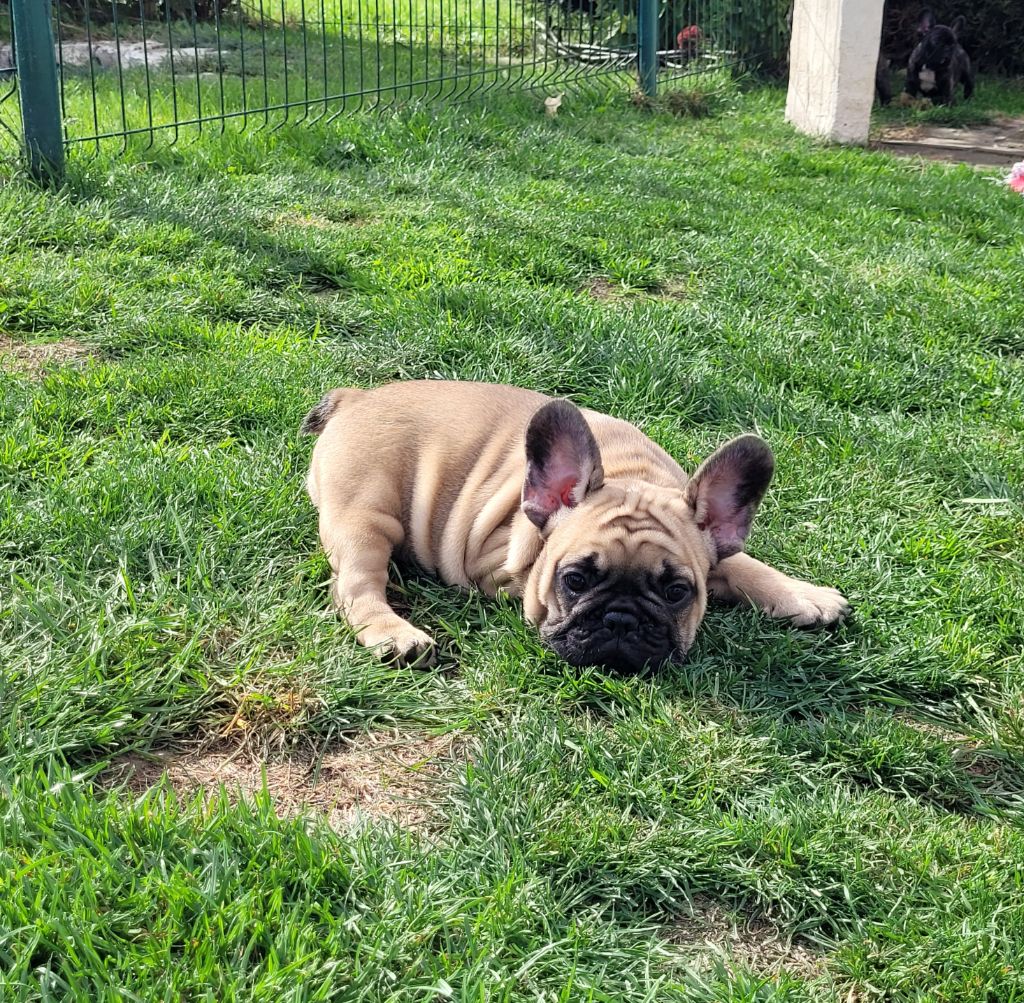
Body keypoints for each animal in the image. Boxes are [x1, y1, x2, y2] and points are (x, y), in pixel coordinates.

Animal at [302, 381, 849, 672]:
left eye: (677, 592)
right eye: (575, 580)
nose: (621, 620)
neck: (633, 474)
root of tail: (355, 398)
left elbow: (744, 564)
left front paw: (805, 595)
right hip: (364, 515)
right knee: (355, 585)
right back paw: (393, 633)